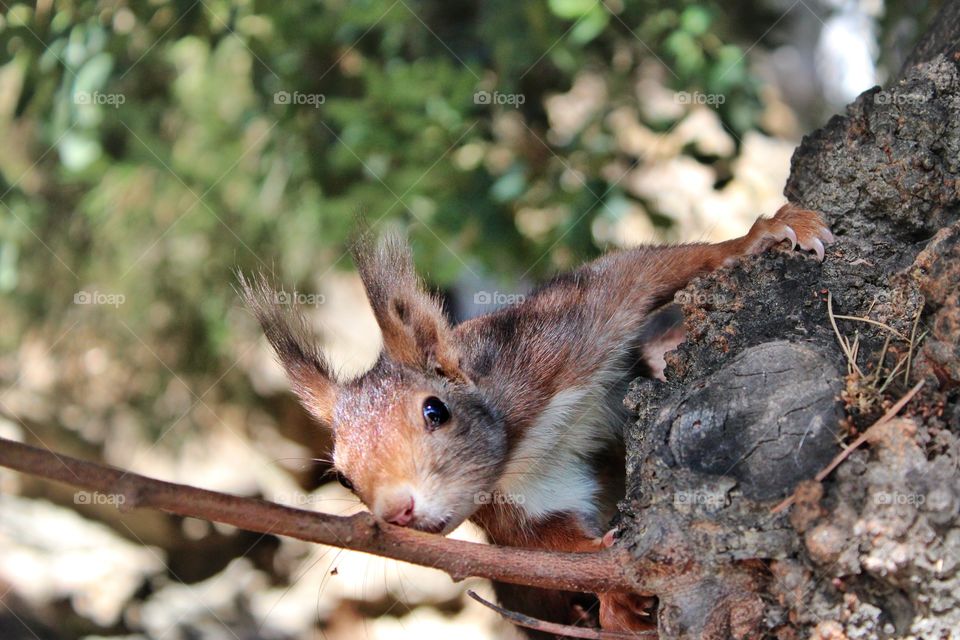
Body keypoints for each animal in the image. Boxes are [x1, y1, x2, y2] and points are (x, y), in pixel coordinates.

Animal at [240, 204, 832, 632]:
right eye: (342, 476)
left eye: (435, 410)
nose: (397, 512)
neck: (521, 445)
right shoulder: (517, 507)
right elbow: (553, 545)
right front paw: (612, 590)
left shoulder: (558, 335)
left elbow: (639, 272)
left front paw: (766, 234)